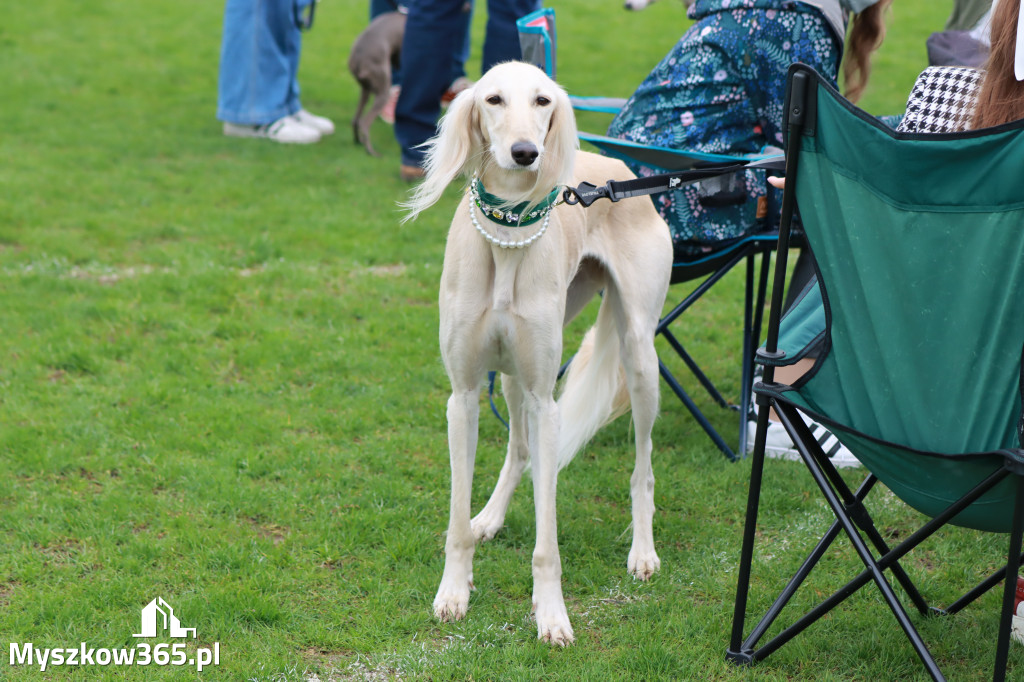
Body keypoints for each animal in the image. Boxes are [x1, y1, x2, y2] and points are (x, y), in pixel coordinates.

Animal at [348, 10, 403, 154]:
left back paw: (358, 142)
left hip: (365, 89)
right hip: (383, 89)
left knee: (355, 120)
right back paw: (371, 151)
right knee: (364, 123)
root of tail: (359, 60)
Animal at [403, 61, 675, 647]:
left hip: (639, 355)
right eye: (494, 100)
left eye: (543, 101)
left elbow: (547, 543)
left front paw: (552, 616)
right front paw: (453, 592)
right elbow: (457, 520)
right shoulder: (463, 396)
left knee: (642, 468)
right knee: (520, 452)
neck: (508, 233)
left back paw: (642, 551)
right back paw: (490, 516)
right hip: (509, 376)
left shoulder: (547, 401)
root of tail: (620, 170)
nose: (525, 152)